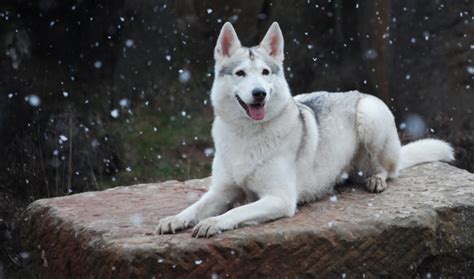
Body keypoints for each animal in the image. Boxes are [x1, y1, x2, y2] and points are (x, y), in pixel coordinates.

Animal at [156, 21, 456, 238]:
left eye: (265, 73)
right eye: (240, 73)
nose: (259, 93)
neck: (247, 134)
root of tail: (355, 92)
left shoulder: (279, 199)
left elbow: (232, 213)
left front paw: (214, 222)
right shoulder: (221, 191)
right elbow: (196, 206)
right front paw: (176, 219)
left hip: (369, 116)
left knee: (388, 169)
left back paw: (376, 179)